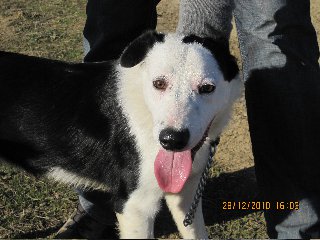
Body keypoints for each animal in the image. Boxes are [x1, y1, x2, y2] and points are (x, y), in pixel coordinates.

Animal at [0, 30, 240, 238]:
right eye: (159, 83)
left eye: (207, 88)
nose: (172, 140)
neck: (143, 108)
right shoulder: (135, 207)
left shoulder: (187, 194)